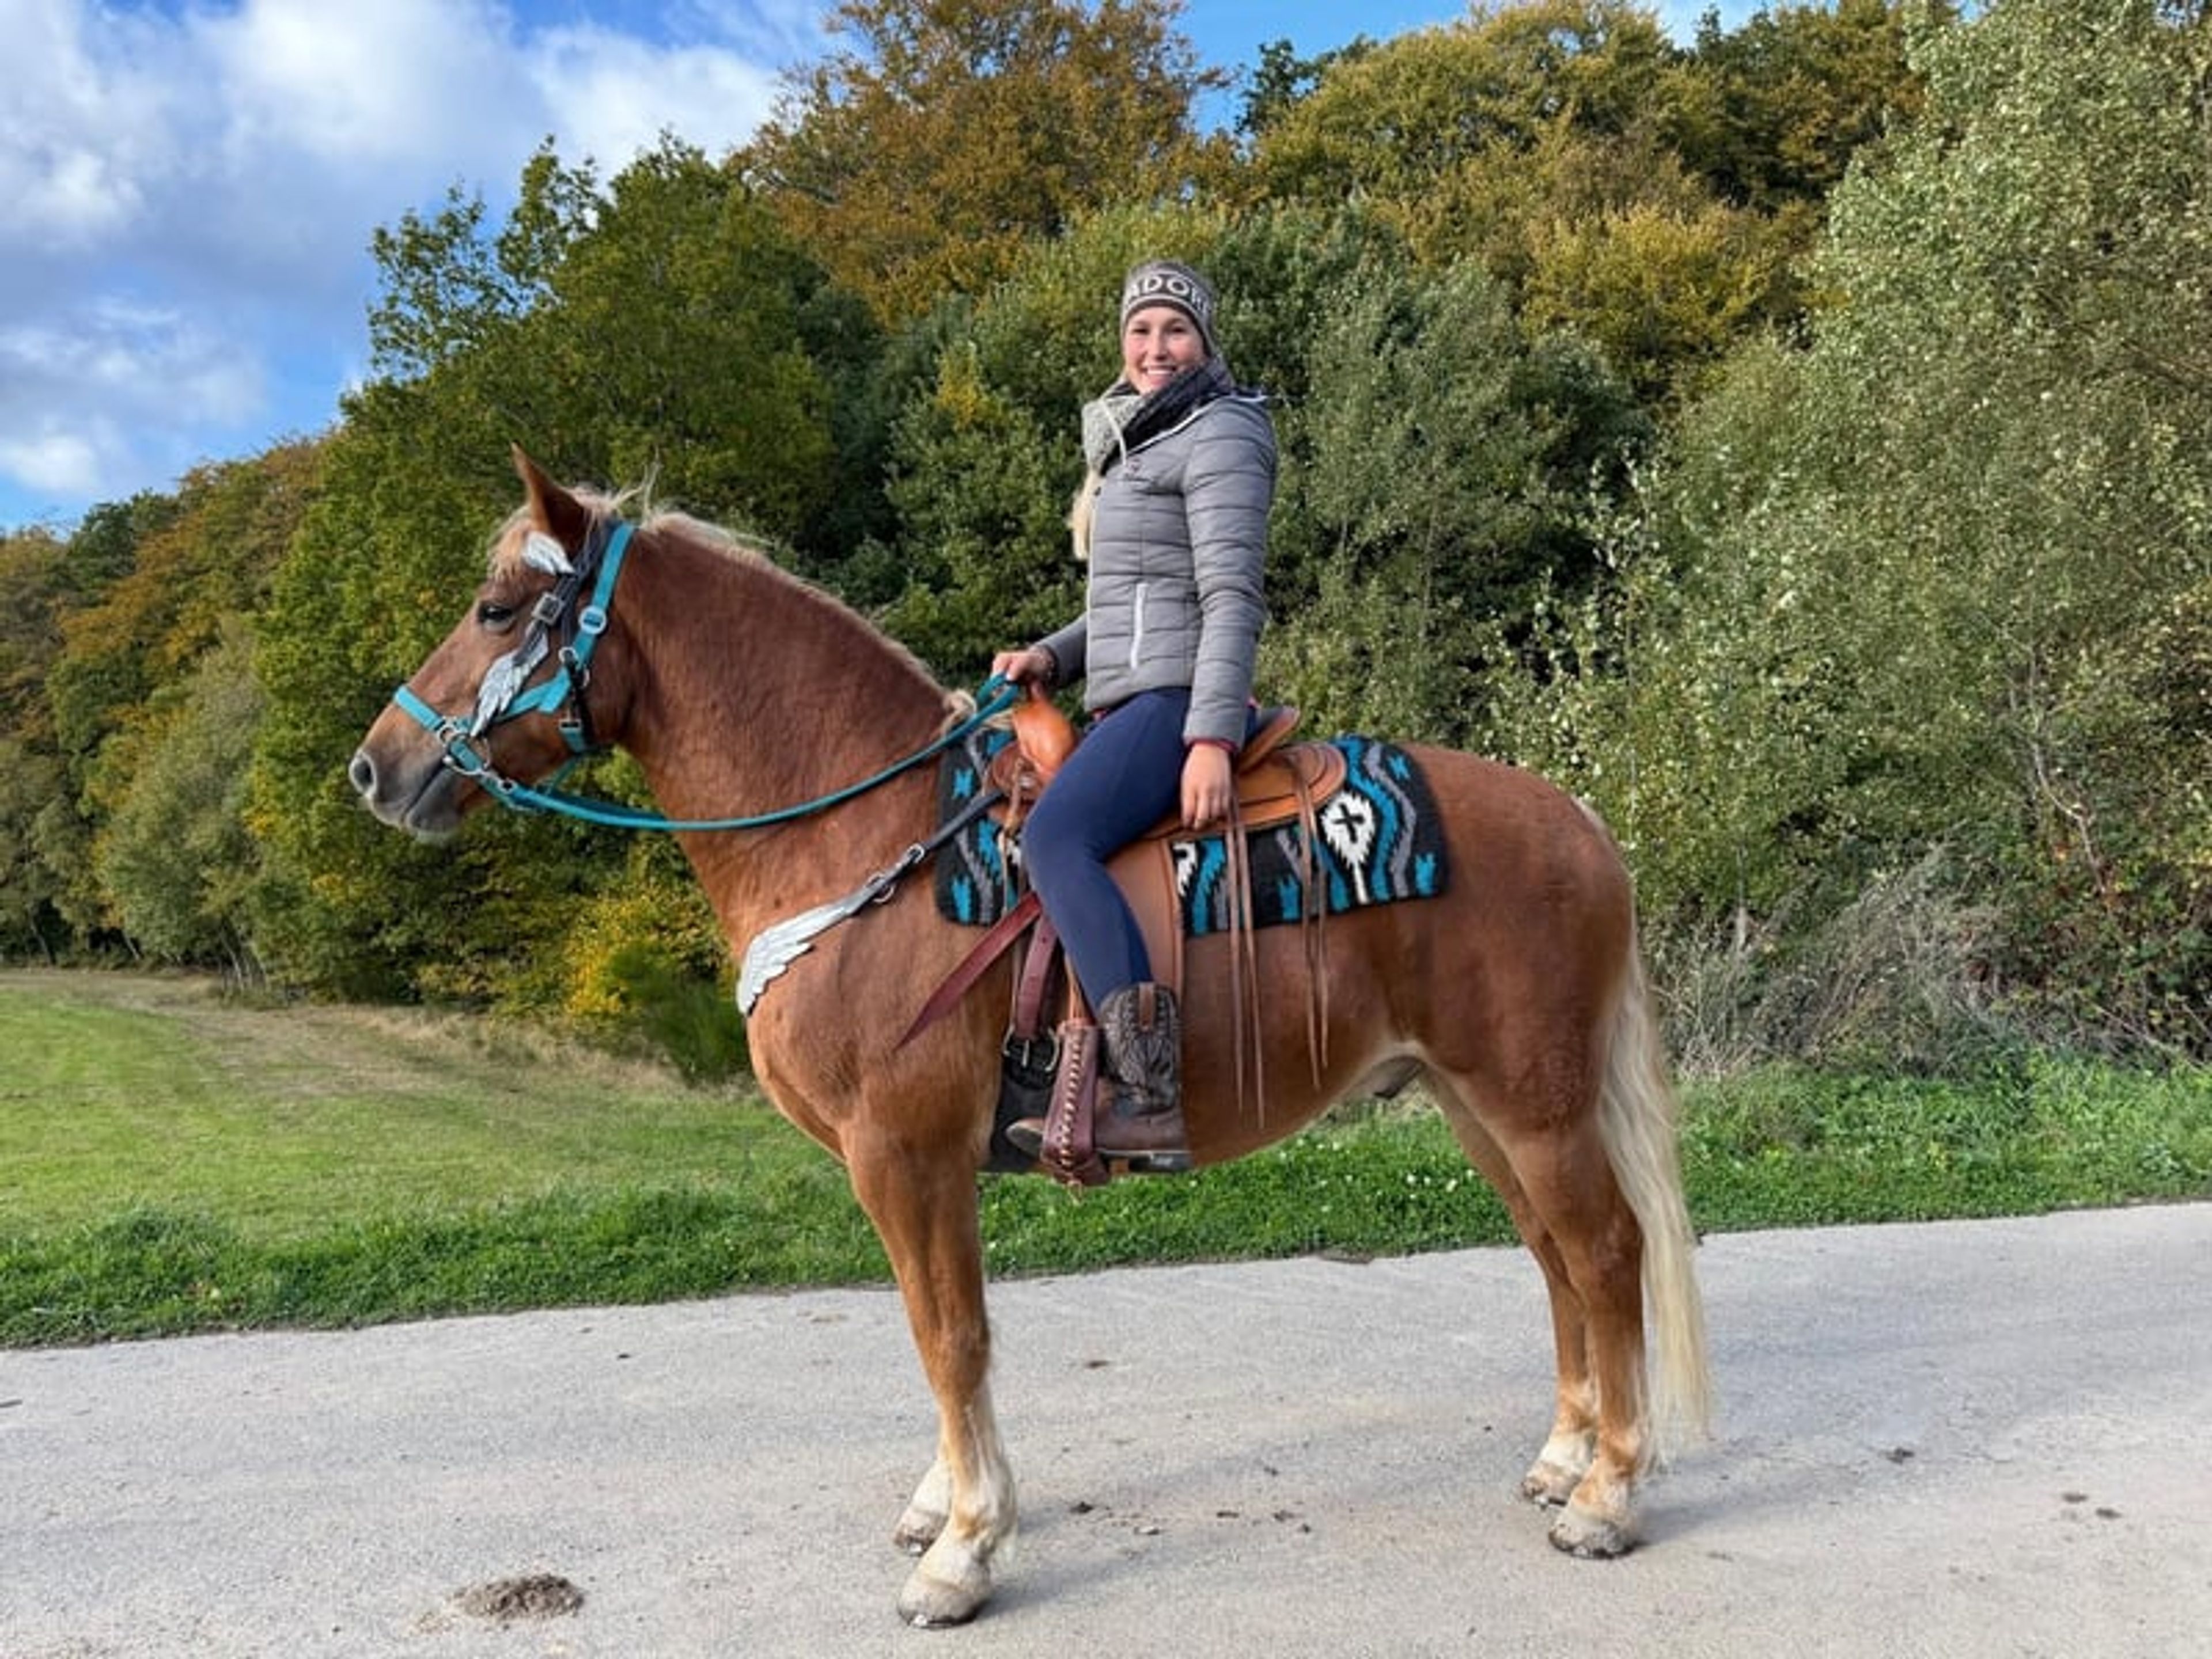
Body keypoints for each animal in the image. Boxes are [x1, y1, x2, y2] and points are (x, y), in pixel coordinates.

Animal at [348, 450, 1712, 1627]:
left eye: (493, 607)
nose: (375, 768)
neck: (869, 840)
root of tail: (1579, 822)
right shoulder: (909, 1166)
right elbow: (934, 1331)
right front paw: (945, 1504)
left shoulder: (905, 1153)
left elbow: (948, 1337)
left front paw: (963, 1552)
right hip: (1477, 1104)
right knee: (1554, 1257)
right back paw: (1565, 1454)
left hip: (1530, 1103)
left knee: (1604, 1252)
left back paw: (1607, 1495)